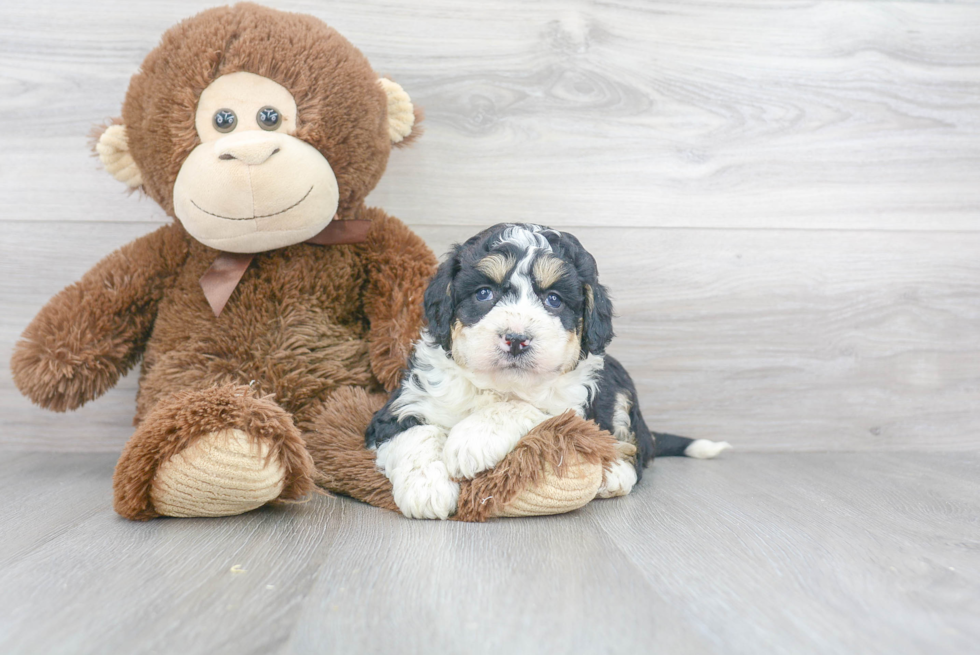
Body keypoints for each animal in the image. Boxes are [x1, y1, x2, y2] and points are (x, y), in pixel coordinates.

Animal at [368, 223, 728, 520]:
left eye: (554, 299)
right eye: (484, 293)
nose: (516, 338)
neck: (499, 385)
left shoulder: (573, 408)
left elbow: (522, 408)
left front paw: (472, 439)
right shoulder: (405, 402)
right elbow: (413, 433)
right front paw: (426, 488)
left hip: (621, 388)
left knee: (634, 448)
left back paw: (615, 475)